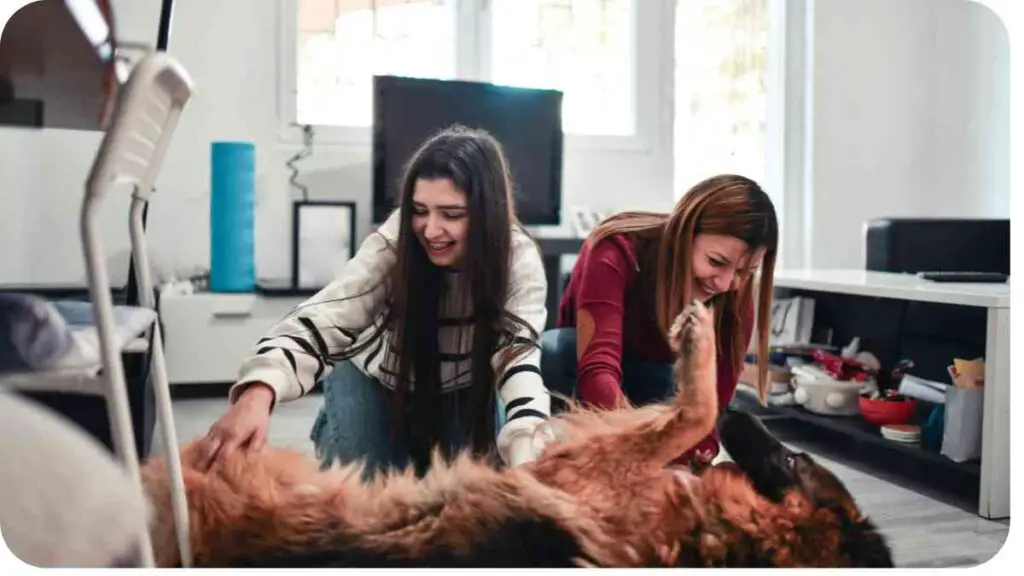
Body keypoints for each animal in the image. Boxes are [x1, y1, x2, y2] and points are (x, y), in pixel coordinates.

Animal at [140, 301, 892, 565]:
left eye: (795, 458)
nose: (749, 413)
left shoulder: (573, 472)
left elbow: (693, 409)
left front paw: (699, 346)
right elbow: (692, 411)